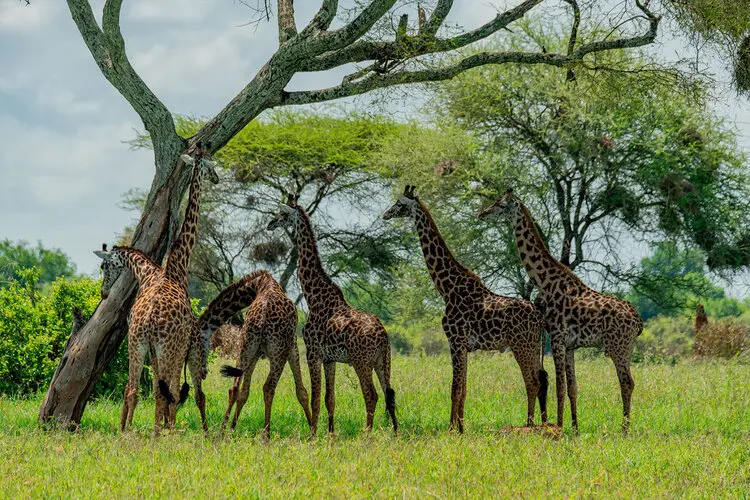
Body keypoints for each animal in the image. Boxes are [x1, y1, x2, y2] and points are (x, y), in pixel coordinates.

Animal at [93, 146, 217, 432]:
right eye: (210, 166)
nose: (217, 178)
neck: (175, 267)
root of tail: (149, 322)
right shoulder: (181, 345)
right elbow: (175, 389)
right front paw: (169, 426)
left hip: (137, 344)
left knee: (133, 389)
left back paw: (127, 430)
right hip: (165, 348)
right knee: (164, 390)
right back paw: (159, 431)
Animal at [197, 270, 314, 438]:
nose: (203, 373)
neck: (258, 284)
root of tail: (263, 316)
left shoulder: (256, 352)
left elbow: (244, 392)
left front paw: (232, 428)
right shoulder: (292, 347)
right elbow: (302, 392)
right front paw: (313, 431)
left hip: (245, 346)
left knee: (234, 388)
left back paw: (222, 432)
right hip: (278, 352)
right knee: (268, 387)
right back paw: (266, 435)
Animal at [268, 195, 400, 438]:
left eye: (282, 214)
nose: (270, 224)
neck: (313, 295)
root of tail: (383, 337)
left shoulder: (313, 352)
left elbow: (315, 398)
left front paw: (312, 435)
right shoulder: (330, 359)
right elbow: (330, 399)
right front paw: (330, 434)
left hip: (361, 361)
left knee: (372, 394)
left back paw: (366, 433)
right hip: (383, 361)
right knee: (389, 393)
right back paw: (396, 433)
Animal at [384, 186, 548, 432]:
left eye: (400, 203)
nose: (385, 214)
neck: (447, 288)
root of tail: (538, 316)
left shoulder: (455, 340)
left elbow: (454, 388)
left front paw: (451, 429)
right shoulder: (465, 346)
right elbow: (464, 388)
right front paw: (461, 427)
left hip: (522, 345)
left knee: (532, 382)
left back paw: (528, 424)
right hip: (533, 346)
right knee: (538, 381)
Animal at [482, 189, 648, 432]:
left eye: (501, 205)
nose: (482, 213)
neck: (546, 282)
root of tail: (638, 320)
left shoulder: (557, 338)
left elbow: (560, 387)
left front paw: (559, 427)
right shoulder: (570, 346)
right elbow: (573, 388)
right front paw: (575, 428)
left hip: (618, 346)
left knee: (627, 382)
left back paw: (624, 429)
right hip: (626, 347)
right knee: (628, 382)